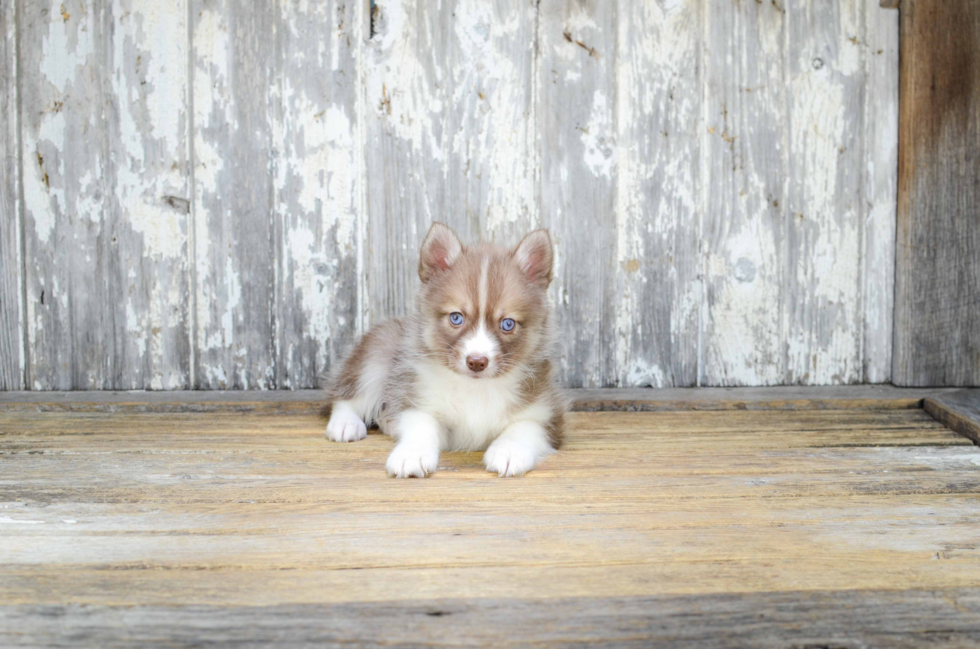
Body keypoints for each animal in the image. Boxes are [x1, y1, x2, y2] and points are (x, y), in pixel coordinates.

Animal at [324, 223, 568, 476]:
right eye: (456, 317)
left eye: (507, 324)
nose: (477, 362)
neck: (475, 389)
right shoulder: (420, 400)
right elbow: (422, 426)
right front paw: (412, 454)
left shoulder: (547, 414)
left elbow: (524, 429)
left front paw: (509, 451)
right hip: (376, 354)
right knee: (346, 396)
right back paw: (345, 424)